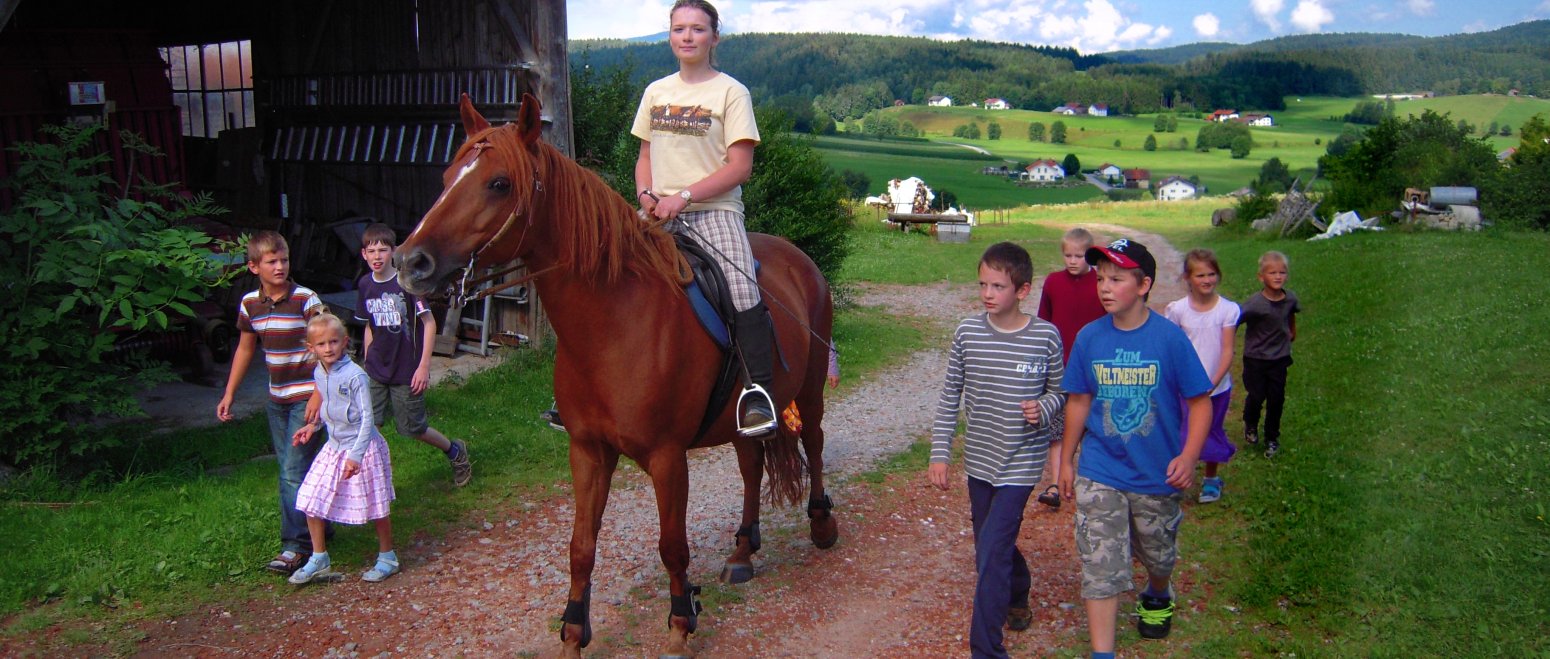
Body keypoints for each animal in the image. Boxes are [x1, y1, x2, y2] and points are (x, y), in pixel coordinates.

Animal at [393, 94, 843, 654]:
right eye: (448, 175)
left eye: (498, 183)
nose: (409, 262)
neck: (614, 323)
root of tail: (798, 257)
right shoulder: (588, 451)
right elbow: (581, 546)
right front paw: (572, 633)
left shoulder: (668, 458)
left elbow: (672, 546)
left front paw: (680, 624)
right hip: (743, 416)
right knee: (751, 466)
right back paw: (742, 552)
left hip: (810, 390)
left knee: (815, 444)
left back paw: (822, 525)